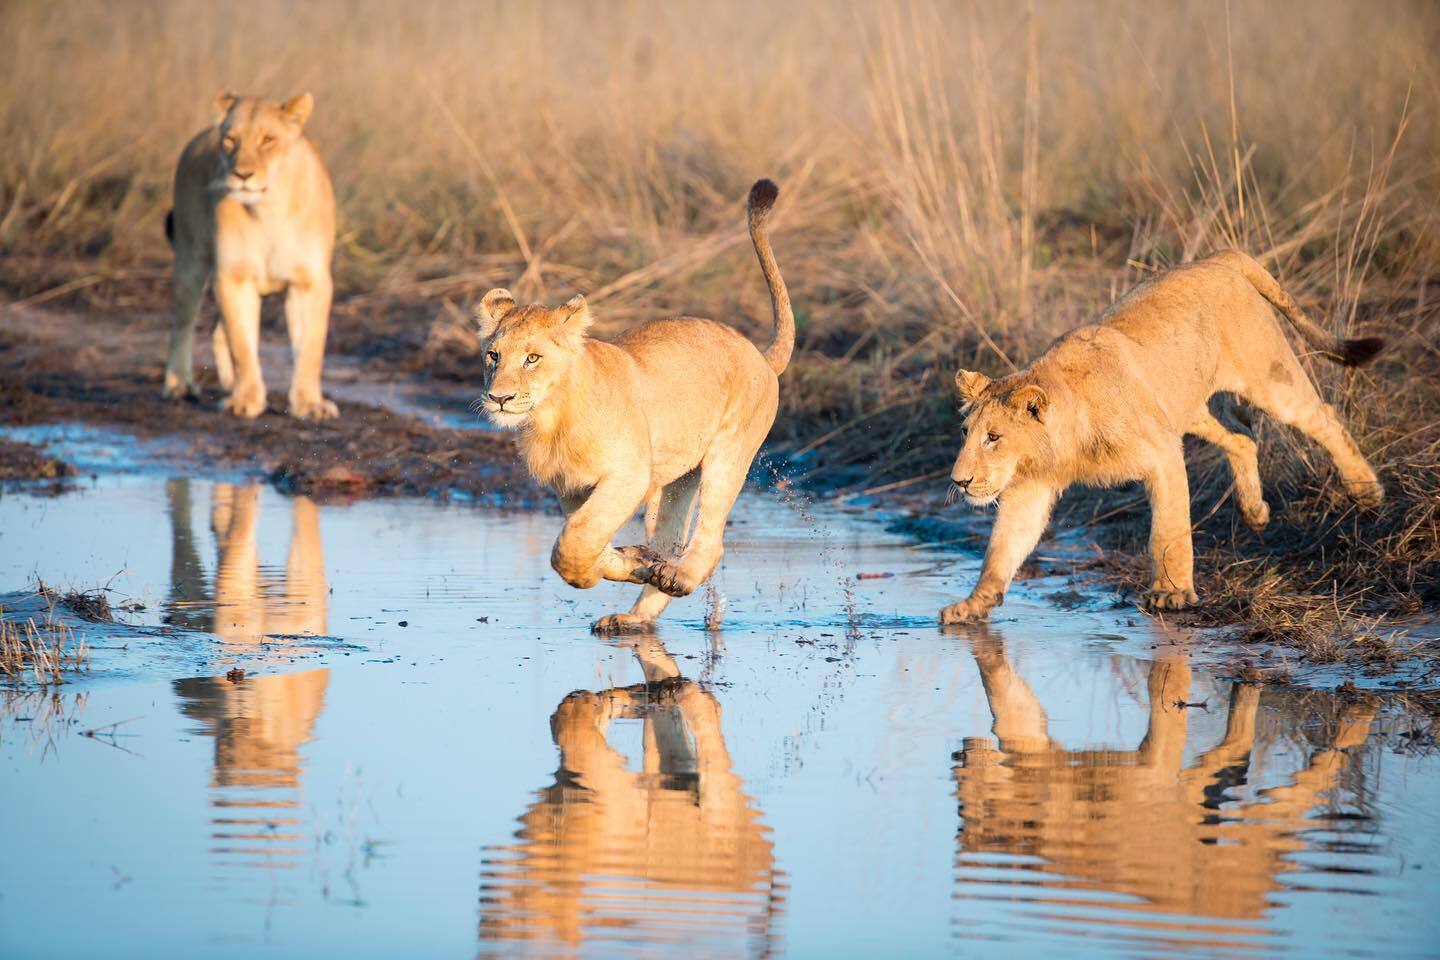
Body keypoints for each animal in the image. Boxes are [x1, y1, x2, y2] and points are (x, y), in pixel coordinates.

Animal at [164, 91, 338, 420]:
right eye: (230, 140)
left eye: (268, 139)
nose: (242, 174)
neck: (268, 211)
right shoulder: (233, 277)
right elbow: (242, 345)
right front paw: (246, 401)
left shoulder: (309, 283)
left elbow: (310, 348)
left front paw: (310, 404)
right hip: (190, 260)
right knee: (184, 322)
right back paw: (179, 384)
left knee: (216, 331)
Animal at [472, 181, 789, 639]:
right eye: (493, 356)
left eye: (532, 359)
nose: (499, 398)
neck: (551, 418)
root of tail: (761, 355)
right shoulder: (571, 487)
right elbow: (585, 537)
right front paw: (631, 561)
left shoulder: (628, 475)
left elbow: (572, 543)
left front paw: (595, 571)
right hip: (677, 479)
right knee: (670, 539)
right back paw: (639, 607)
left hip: (728, 454)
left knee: (711, 540)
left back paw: (678, 578)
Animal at [944, 250, 1382, 624]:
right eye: (966, 433)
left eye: (994, 437)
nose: (959, 481)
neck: (1066, 445)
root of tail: (1220, 258)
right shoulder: (1029, 488)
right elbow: (1002, 548)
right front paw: (973, 604)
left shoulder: (1162, 454)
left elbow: (1169, 532)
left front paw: (1171, 593)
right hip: (1188, 408)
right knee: (1242, 436)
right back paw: (1255, 510)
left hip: (1270, 380)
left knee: (1325, 420)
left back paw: (1365, 492)